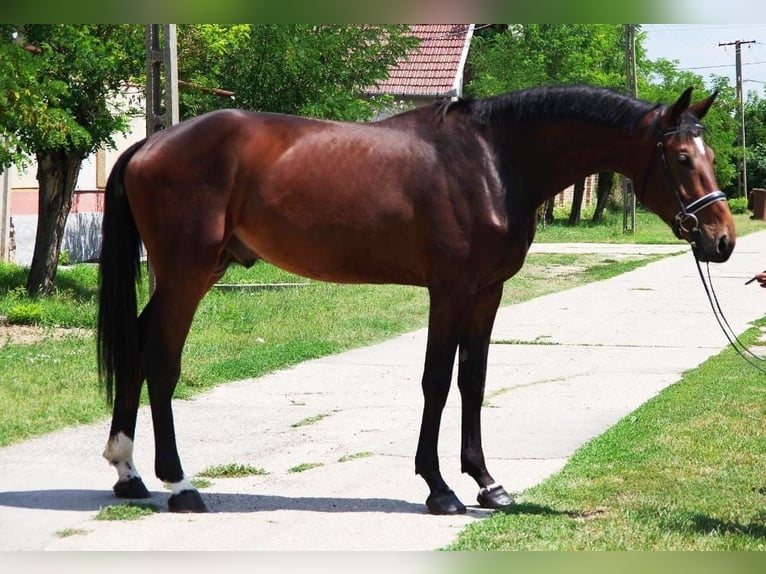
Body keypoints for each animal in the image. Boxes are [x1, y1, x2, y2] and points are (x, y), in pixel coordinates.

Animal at [96, 85, 736, 516]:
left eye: (710, 158)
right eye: (682, 159)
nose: (722, 240)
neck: (492, 162)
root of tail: (150, 143)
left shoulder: (486, 292)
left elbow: (473, 381)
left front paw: (488, 484)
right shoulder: (449, 291)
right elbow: (436, 381)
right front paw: (440, 488)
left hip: (193, 274)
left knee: (135, 346)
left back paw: (128, 474)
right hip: (186, 274)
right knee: (161, 360)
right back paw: (179, 485)